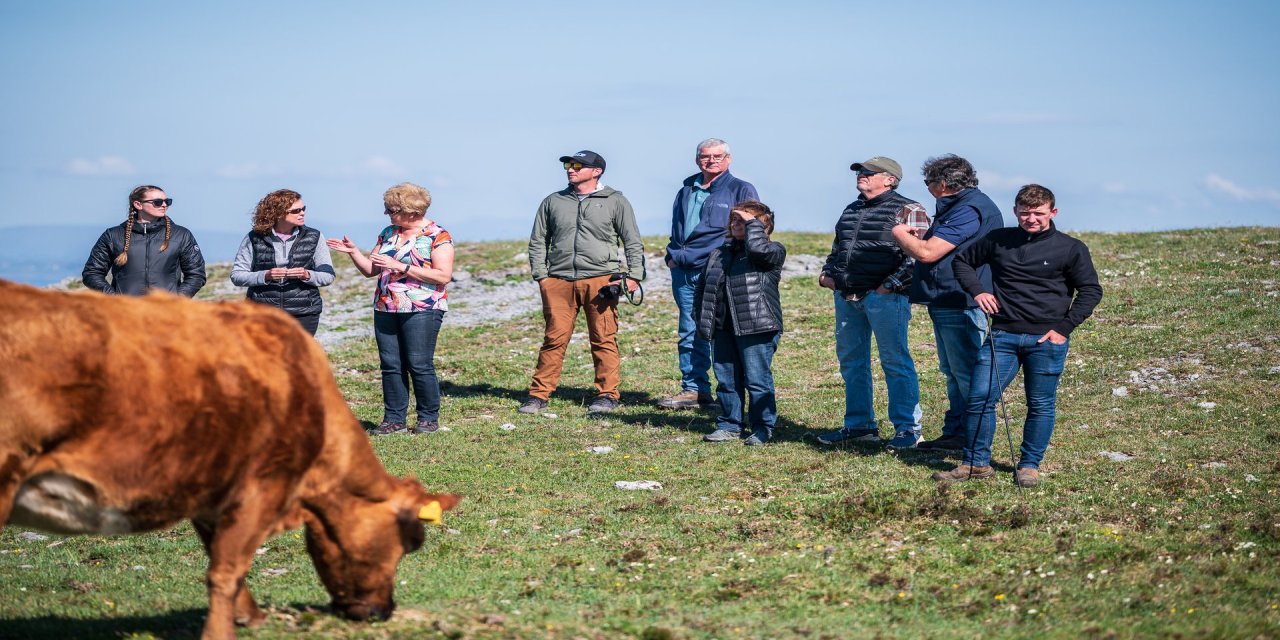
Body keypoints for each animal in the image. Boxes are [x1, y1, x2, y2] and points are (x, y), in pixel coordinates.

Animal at [0, 279, 460, 640]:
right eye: (408, 543)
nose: (384, 611)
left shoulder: (211, 490)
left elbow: (218, 558)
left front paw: (248, 615)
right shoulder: (265, 483)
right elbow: (228, 568)